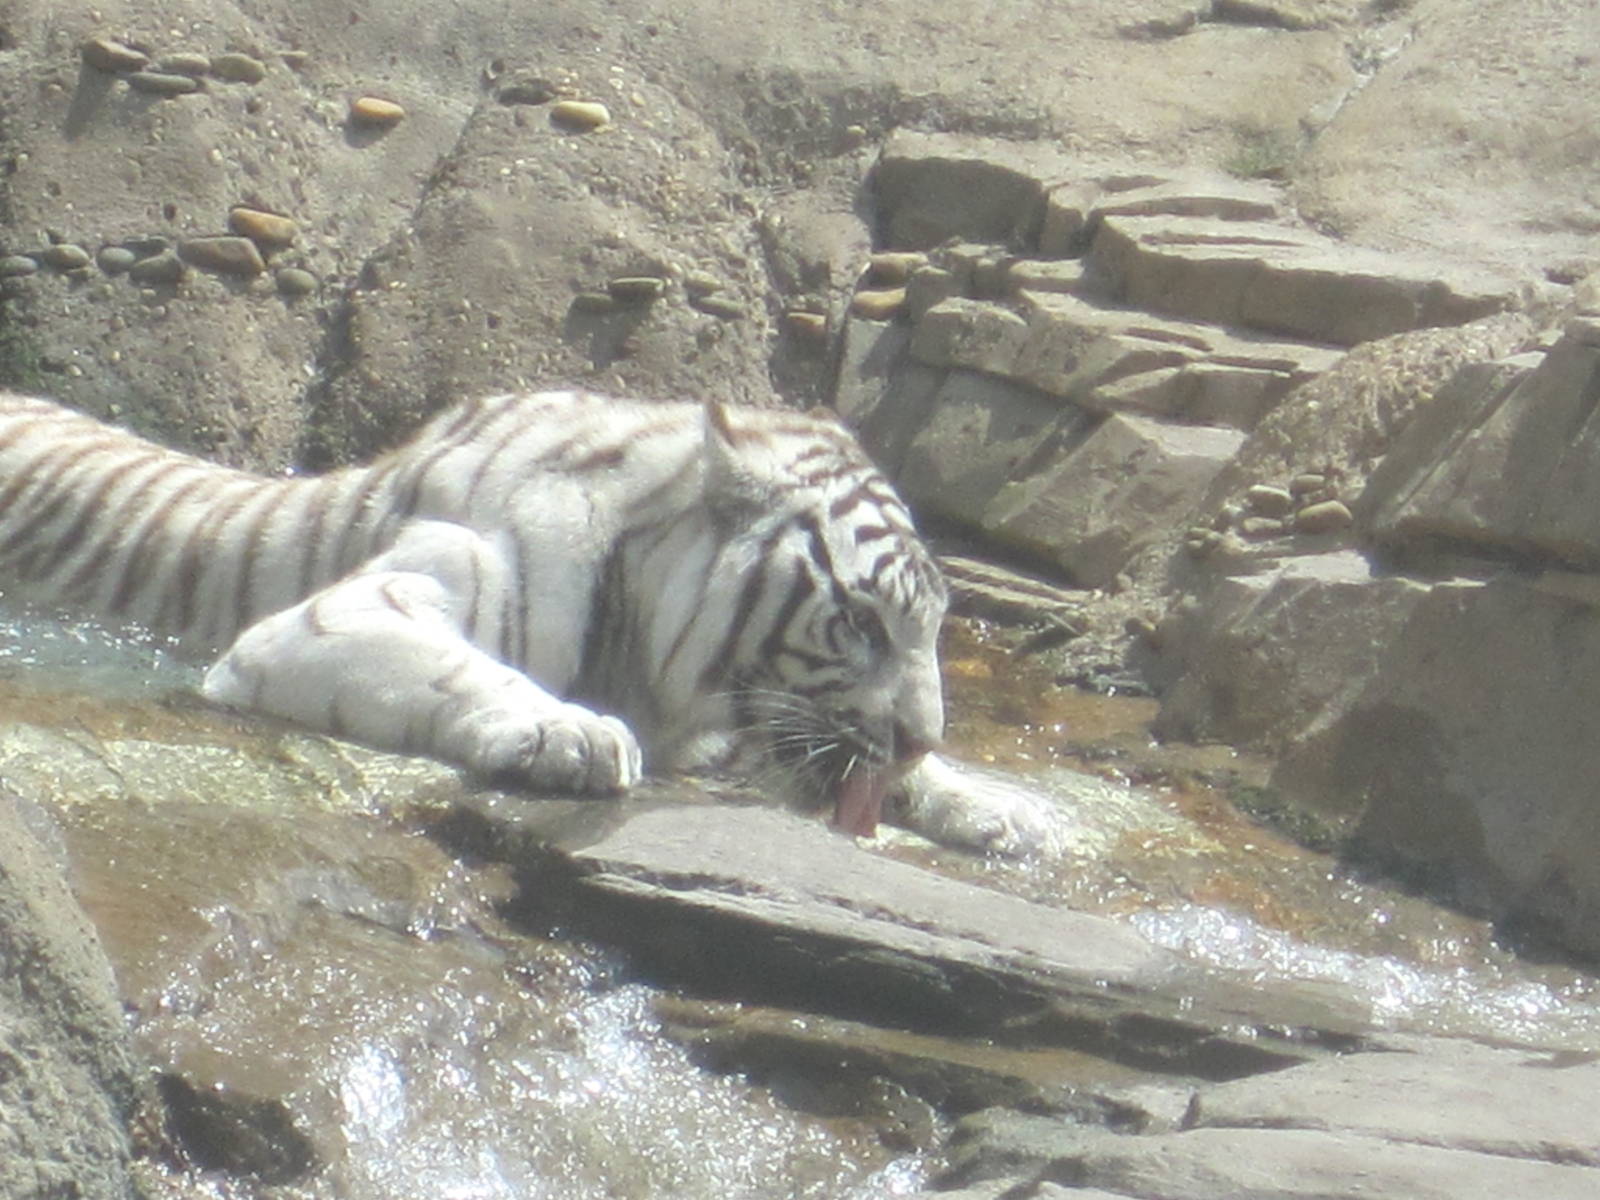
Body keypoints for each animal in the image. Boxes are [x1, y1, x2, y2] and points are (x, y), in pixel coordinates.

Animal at [0, 388, 1050, 852]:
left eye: (929, 631)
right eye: (864, 624)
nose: (921, 738)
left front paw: (1000, 806)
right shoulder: (334, 617)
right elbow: (462, 668)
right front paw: (572, 733)